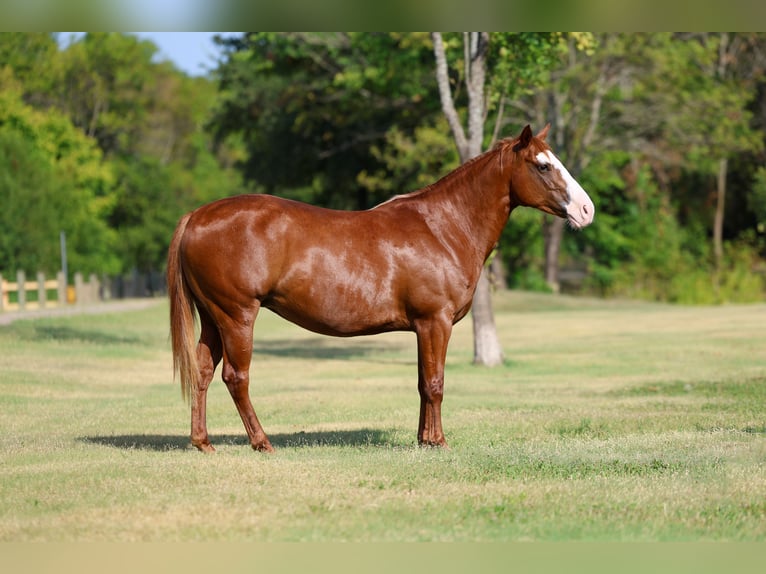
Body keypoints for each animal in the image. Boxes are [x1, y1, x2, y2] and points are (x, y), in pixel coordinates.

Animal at [167, 124, 594, 453]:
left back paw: (203, 442)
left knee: (203, 372)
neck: (443, 227)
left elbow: (423, 382)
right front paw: (438, 442)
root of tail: (196, 216)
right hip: (237, 315)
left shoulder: (424, 327)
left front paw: (423, 439)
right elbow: (435, 383)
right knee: (236, 378)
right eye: (543, 165)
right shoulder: (435, 321)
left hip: (213, 317)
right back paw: (262, 442)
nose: (586, 210)